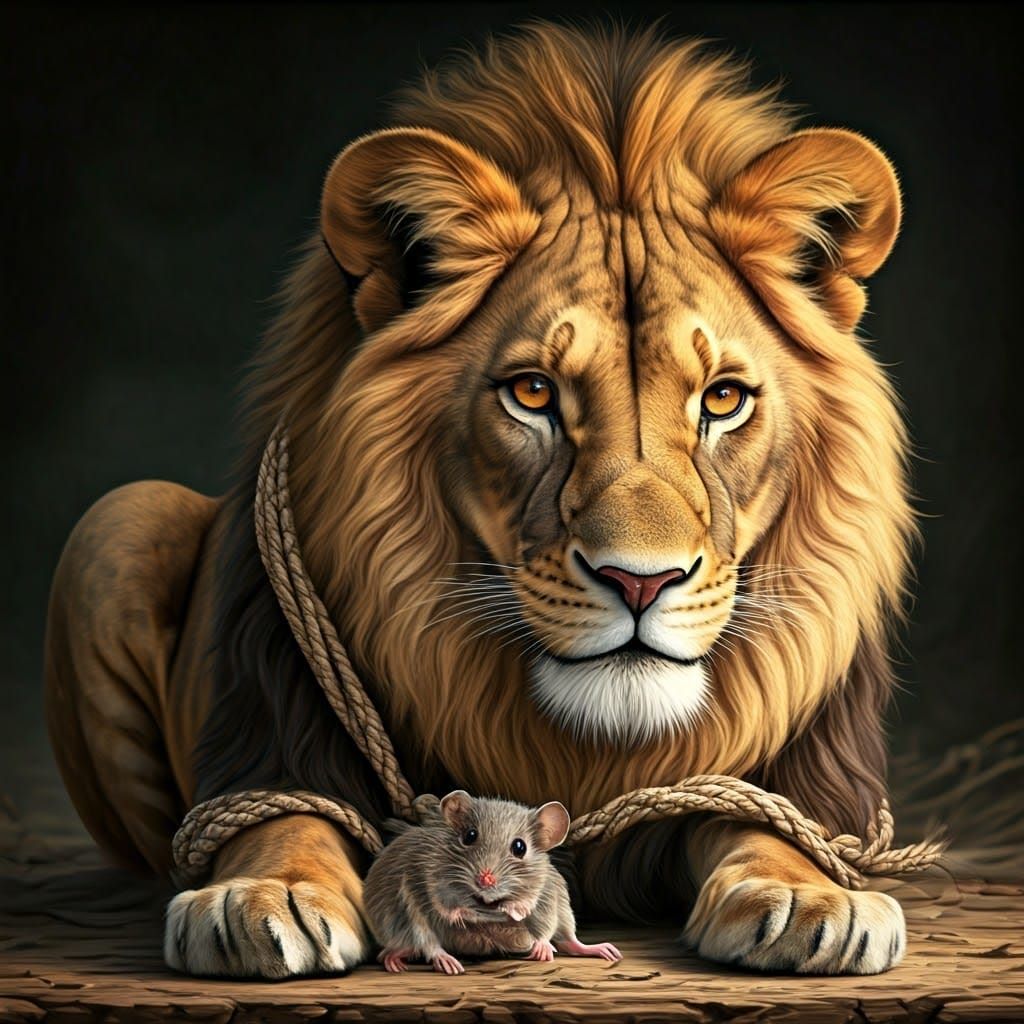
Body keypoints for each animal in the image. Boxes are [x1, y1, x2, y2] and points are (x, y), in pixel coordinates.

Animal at [44, 22, 914, 978]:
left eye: (722, 399)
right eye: (532, 393)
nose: (640, 582)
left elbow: (765, 822)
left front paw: (810, 896)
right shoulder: (272, 735)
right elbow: (287, 818)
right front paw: (265, 896)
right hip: (116, 520)